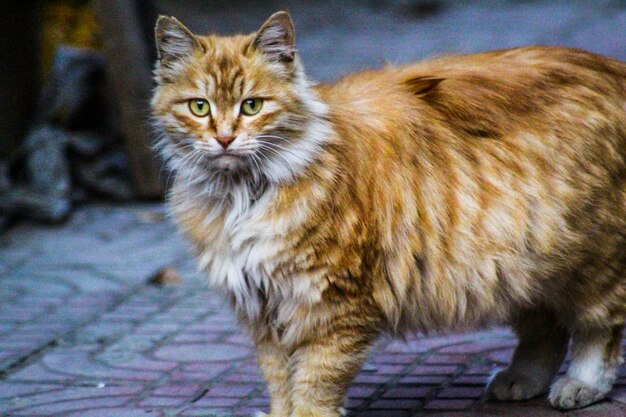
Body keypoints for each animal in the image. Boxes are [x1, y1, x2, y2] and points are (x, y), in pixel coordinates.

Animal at [152, 11, 624, 416]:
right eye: (198, 107)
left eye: (252, 106)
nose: (225, 138)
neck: (242, 197)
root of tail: (613, 69)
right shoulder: (263, 310)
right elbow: (281, 382)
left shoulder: (332, 304)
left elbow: (314, 382)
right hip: (517, 267)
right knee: (546, 329)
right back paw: (521, 379)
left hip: (586, 259)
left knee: (598, 330)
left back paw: (580, 385)